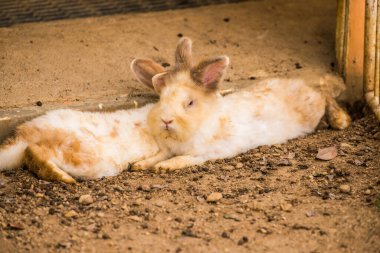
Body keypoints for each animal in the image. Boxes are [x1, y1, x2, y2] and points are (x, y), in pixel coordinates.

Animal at [131, 37, 350, 172]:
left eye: (190, 103)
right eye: (162, 99)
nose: (166, 120)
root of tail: (302, 85)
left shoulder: (206, 153)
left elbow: (183, 159)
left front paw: (165, 167)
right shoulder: (166, 149)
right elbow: (158, 155)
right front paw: (139, 164)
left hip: (315, 108)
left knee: (325, 94)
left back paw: (341, 120)